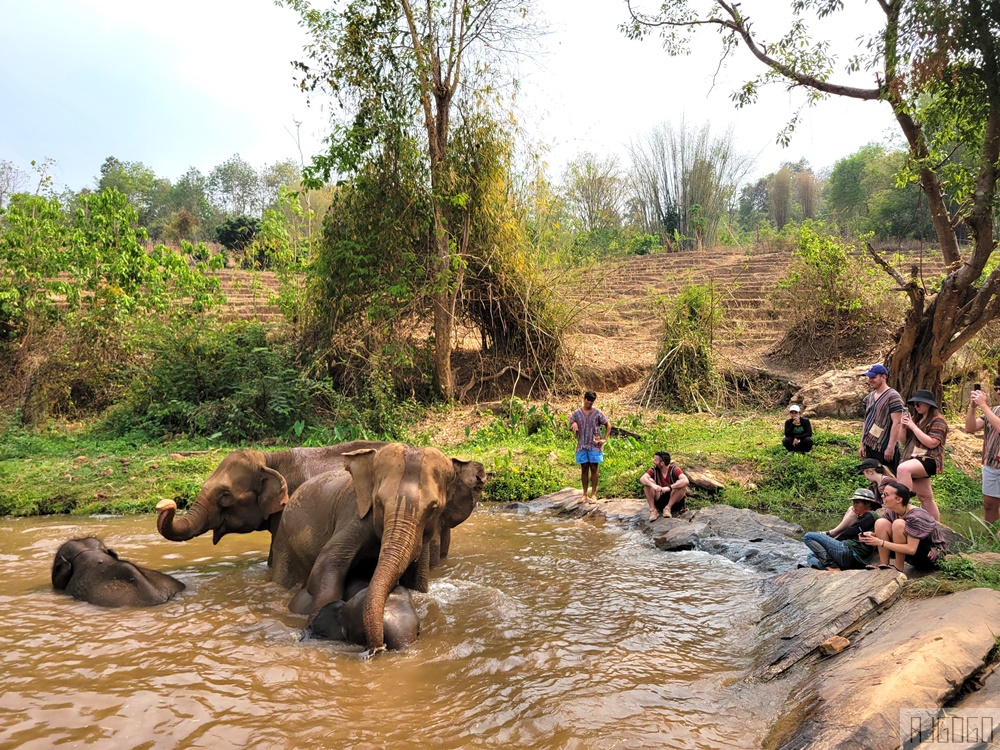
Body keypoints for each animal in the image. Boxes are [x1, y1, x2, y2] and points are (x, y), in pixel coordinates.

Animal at [271, 443, 484, 652]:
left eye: (433, 508)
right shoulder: (355, 514)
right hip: (284, 542)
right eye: (379, 502)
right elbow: (328, 565)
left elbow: (418, 580)